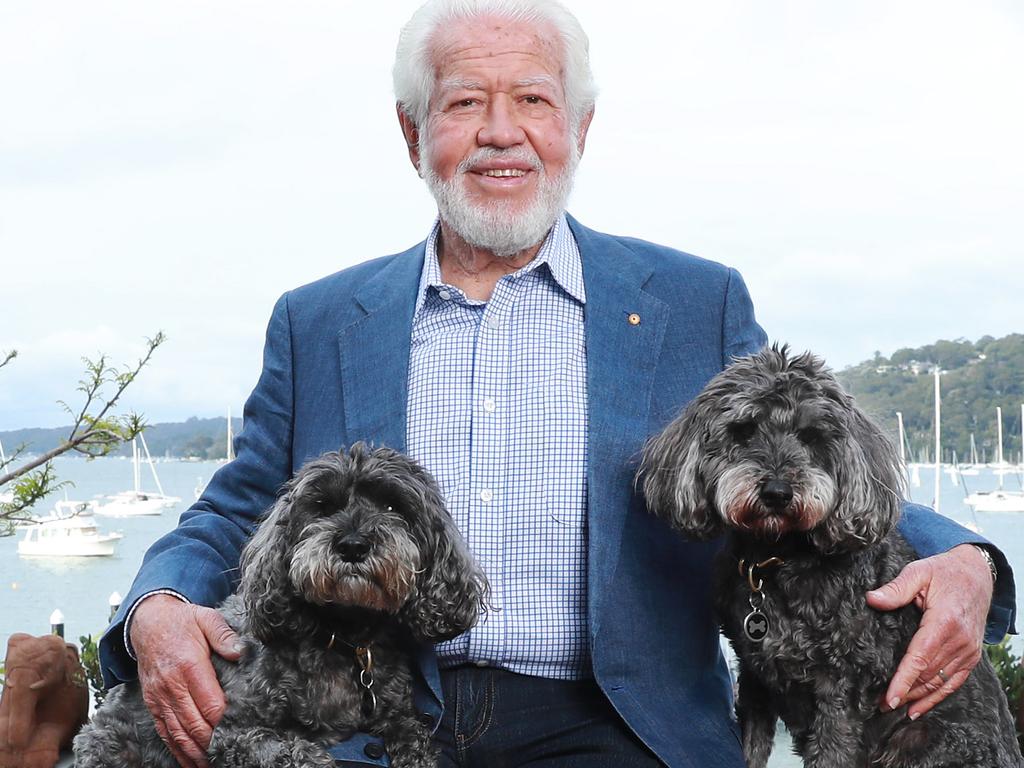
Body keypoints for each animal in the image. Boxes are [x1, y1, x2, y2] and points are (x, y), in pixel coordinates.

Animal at [73, 444, 487, 768]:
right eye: (322, 507)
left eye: (392, 505)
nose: (353, 545)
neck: (342, 634)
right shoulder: (232, 732)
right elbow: (291, 750)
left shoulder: (394, 709)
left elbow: (412, 732)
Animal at [634, 348, 1019, 768]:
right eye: (743, 430)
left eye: (811, 436)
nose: (777, 492)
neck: (777, 559)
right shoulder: (754, 677)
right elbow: (750, 748)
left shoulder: (841, 688)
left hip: (921, 739)